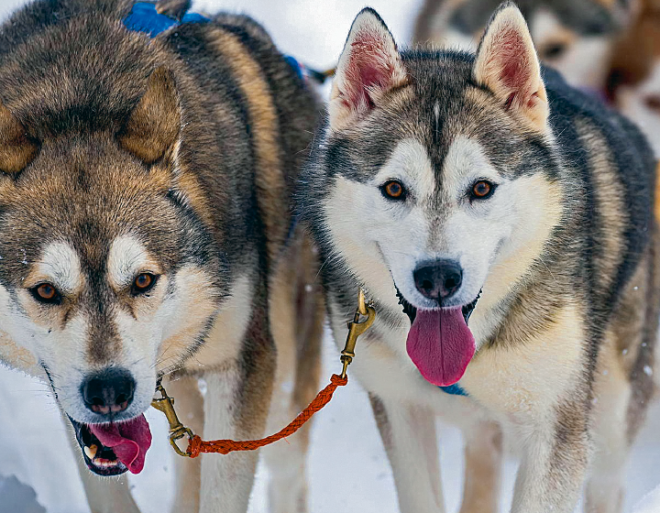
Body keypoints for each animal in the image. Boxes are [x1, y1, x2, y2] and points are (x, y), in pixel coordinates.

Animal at [0, 1, 322, 512]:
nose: (109, 391)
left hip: (286, 377)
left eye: (143, 280)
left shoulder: (244, 364)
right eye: (46, 291)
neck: (79, 101)